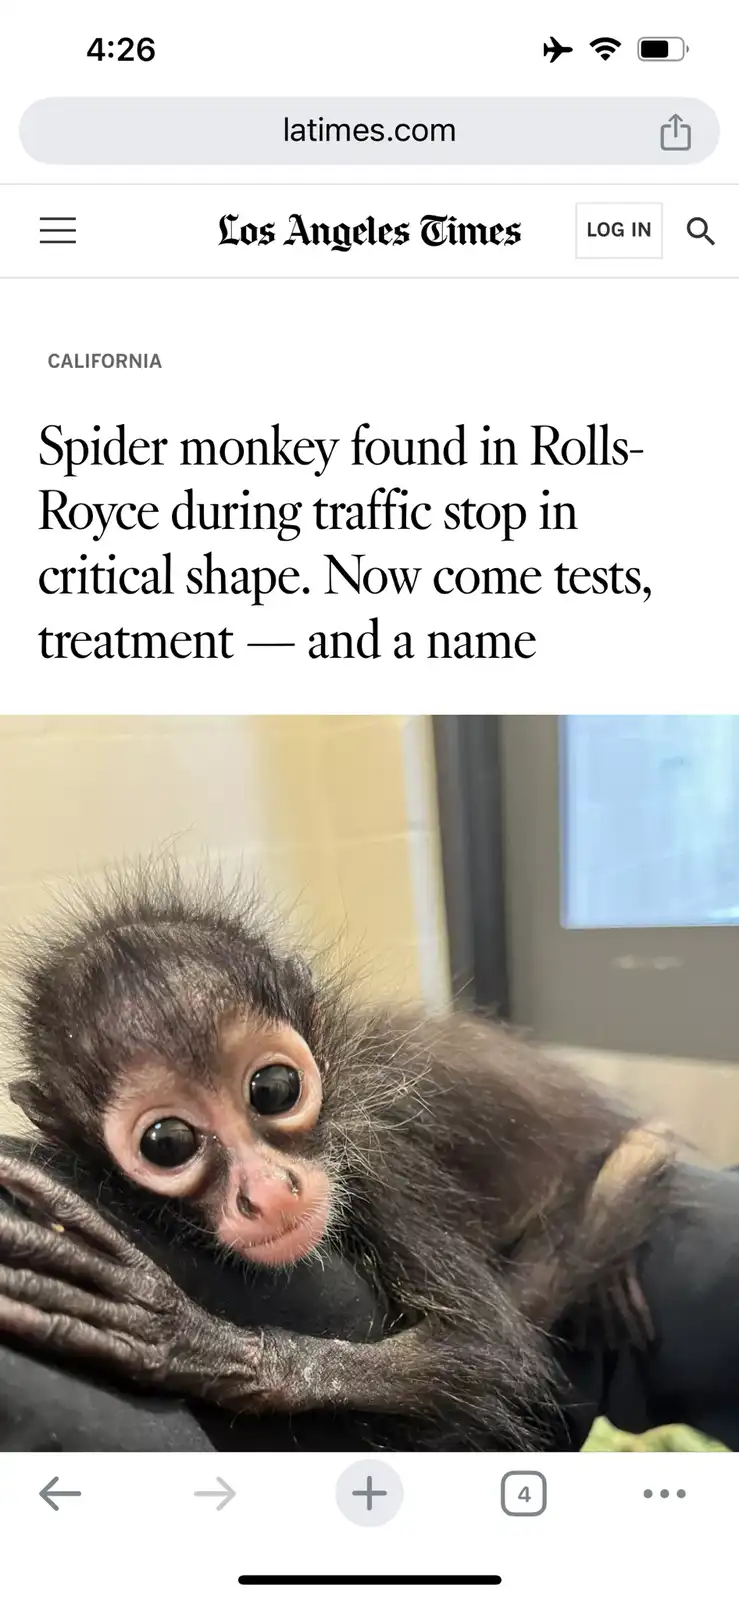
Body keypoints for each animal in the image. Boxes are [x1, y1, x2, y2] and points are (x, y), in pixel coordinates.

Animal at [0, 866, 676, 1449]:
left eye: (274, 1089)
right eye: (166, 1143)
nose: (269, 1191)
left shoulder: (379, 1154)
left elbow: (489, 1348)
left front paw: (198, 1342)